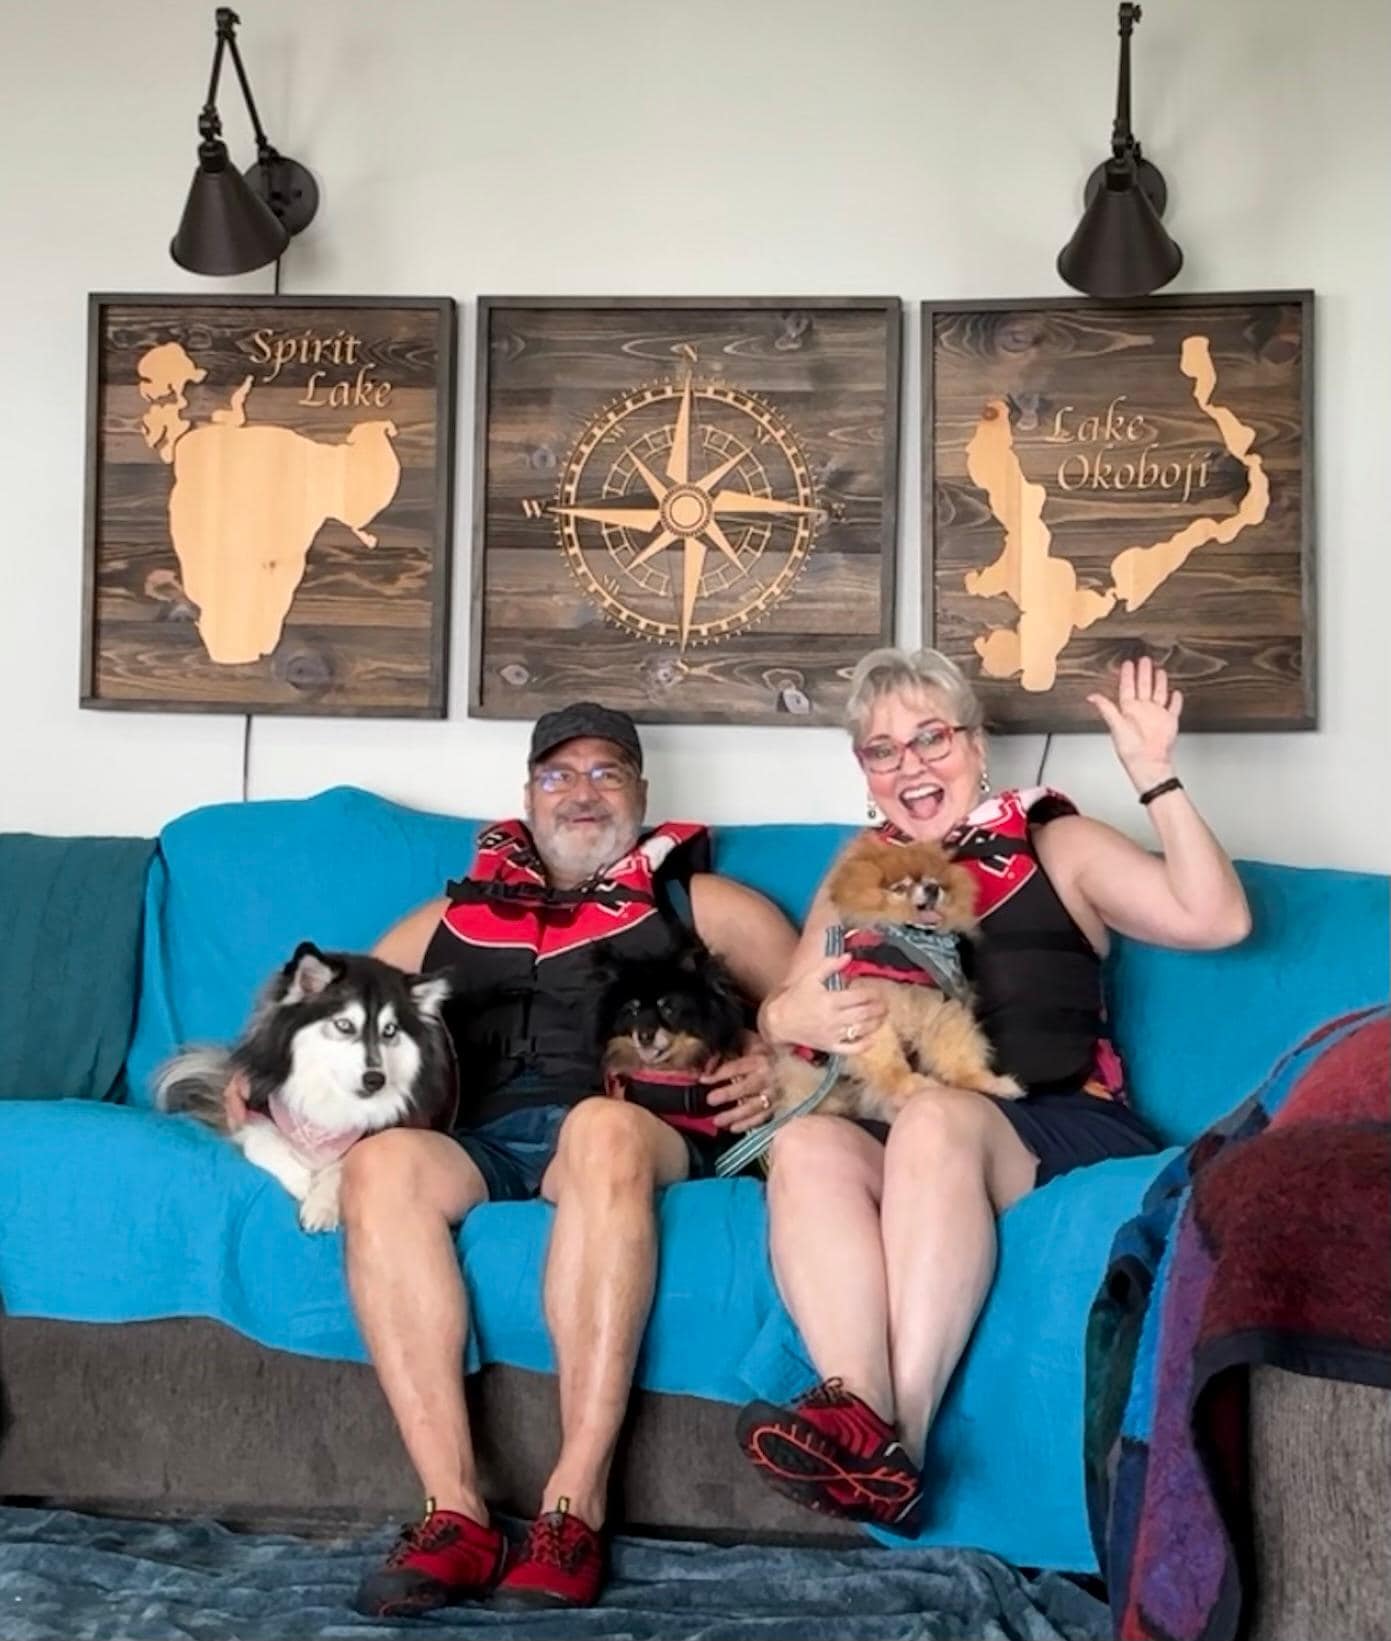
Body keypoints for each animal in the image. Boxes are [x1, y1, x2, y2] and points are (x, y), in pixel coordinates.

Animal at [156, 942, 454, 1232]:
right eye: (344, 1025)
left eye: (390, 1030)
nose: (375, 1079)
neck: (330, 1105)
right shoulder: (249, 1112)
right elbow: (262, 1141)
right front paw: (302, 1182)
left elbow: (341, 1166)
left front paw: (320, 1204)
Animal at [772, 834, 1020, 1126]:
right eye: (900, 888)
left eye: (933, 880)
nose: (932, 889)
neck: (908, 949)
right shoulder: (870, 1019)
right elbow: (890, 1064)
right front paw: (912, 1085)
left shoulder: (942, 1011)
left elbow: (958, 1053)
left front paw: (986, 1082)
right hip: (806, 1072)